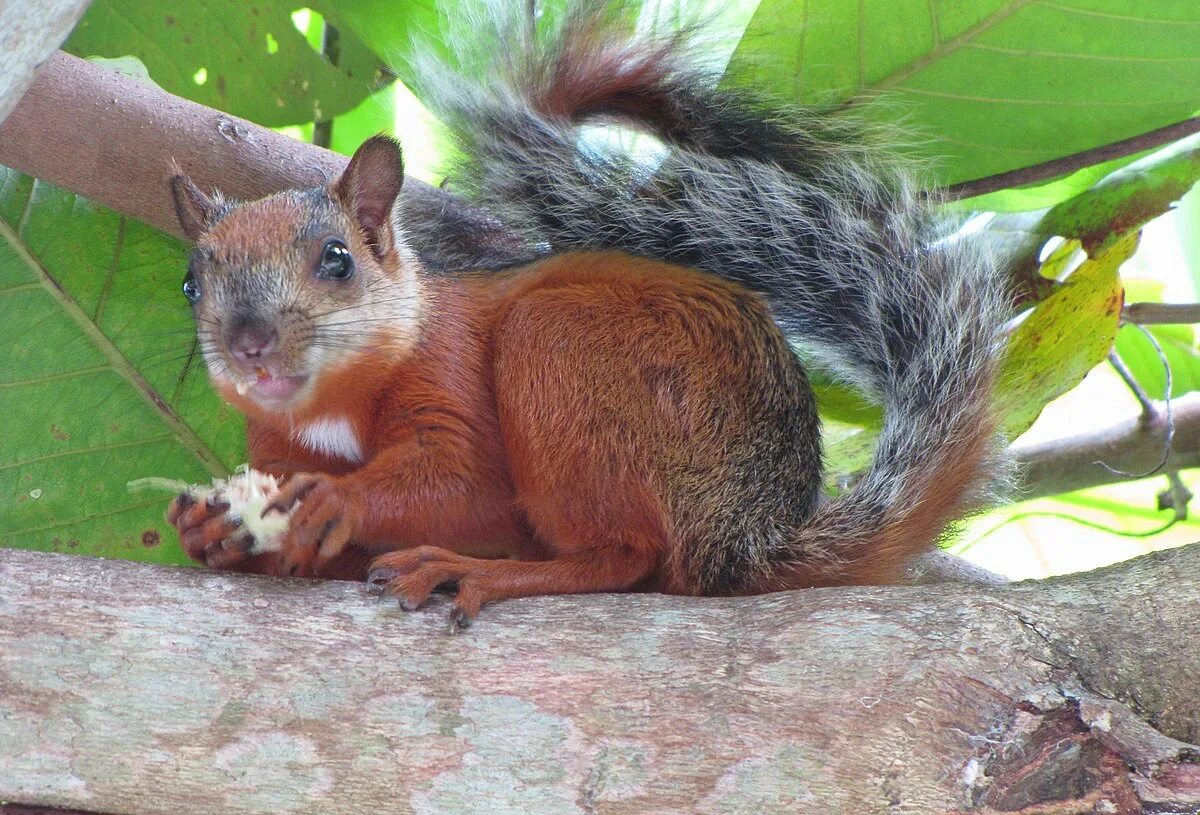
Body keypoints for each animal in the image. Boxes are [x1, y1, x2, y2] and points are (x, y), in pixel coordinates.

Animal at [166, 4, 1012, 624]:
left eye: (337, 259)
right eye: (191, 284)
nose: (249, 343)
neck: (335, 408)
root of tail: (742, 538)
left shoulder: (452, 373)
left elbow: (465, 487)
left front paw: (340, 497)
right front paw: (213, 531)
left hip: (561, 351)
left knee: (624, 554)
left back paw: (469, 569)